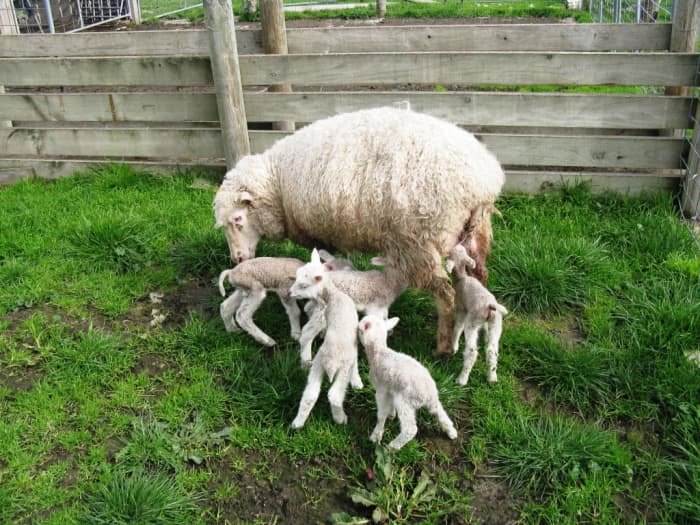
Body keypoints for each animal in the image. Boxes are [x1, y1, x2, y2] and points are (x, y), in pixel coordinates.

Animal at [213, 104, 504, 354]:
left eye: (238, 219)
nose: (237, 258)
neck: (278, 184)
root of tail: (482, 179)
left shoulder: (319, 230)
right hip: (474, 233)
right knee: (478, 275)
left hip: (418, 241)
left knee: (445, 294)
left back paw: (443, 346)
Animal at [288, 248, 364, 428]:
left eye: (303, 285)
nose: (289, 293)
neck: (334, 295)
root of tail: (330, 363)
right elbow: (356, 357)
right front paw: (356, 378)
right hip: (341, 369)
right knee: (334, 395)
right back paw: (340, 418)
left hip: (317, 365)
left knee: (310, 395)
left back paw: (297, 424)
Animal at [356, 314, 460, 448]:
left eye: (360, 330)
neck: (379, 352)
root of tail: (428, 394)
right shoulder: (391, 389)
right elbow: (390, 406)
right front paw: (391, 414)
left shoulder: (381, 390)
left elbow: (381, 414)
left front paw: (376, 436)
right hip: (432, 402)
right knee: (441, 414)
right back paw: (451, 432)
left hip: (406, 402)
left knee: (410, 429)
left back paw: (392, 446)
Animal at [448, 244, 508, 382]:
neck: (462, 277)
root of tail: (490, 306)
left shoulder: (460, 309)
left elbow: (457, 328)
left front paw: (454, 347)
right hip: (496, 324)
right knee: (492, 351)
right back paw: (492, 378)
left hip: (472, 321)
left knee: (472, 352)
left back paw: (462, 379)